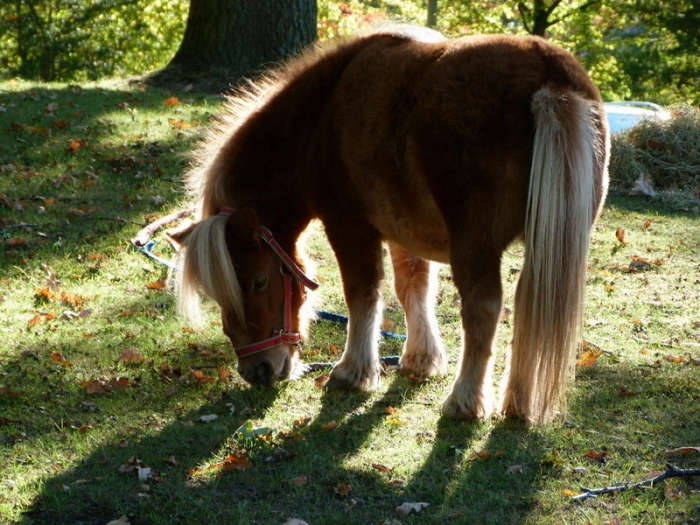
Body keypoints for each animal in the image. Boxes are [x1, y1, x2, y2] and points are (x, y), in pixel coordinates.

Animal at [169, 25, 610, 425]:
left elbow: (362, 294)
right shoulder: (404, 229)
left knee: (482, 309)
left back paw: (465, 401)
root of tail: (548, 72)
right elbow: (412, 287)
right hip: (545, 246)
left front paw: (353, 372)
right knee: (527, 308)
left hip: (475, 246)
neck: (317, 121)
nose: (256, 371)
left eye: (259, 281)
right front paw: (421, 359)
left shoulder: (349, 227)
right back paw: (517, 402)